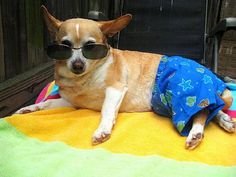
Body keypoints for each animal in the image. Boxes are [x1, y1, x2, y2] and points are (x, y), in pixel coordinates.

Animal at [15, 5, 235, 149]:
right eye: (65, 47)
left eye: (91, 47)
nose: (77, 65)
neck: (84, 80)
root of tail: (213, 76)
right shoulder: (70, 103)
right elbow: (45, 104)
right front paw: (28, 109)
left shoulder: (115, 90)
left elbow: (106, 110)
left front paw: (103, 130)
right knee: (212, 110)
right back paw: (225, 120)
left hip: (181, 91)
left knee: (201, 112)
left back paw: (196, 133)